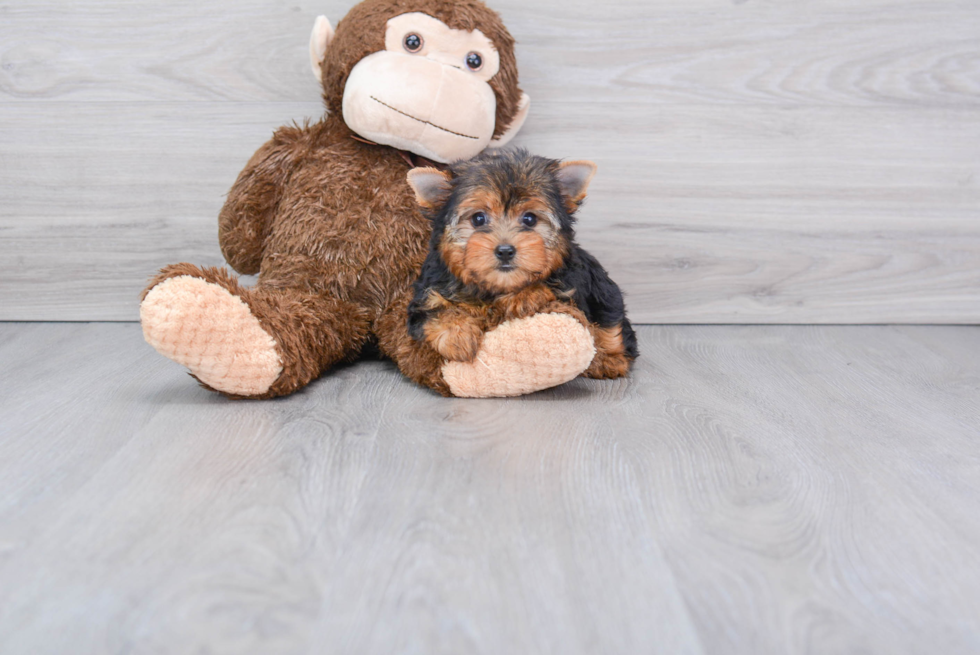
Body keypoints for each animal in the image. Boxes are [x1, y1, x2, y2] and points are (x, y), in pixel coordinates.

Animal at [404, 150, 640, 380]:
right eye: (478, 219)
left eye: (529, 219)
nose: (505, 250)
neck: (497, 287)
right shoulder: (427, 293)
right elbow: (433, 314)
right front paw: (458, 336)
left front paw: (525, 296)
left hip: (602, 287)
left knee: (610, 317)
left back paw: (610, 359)